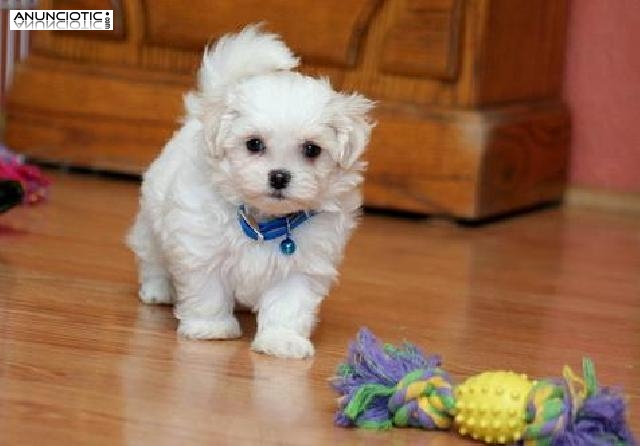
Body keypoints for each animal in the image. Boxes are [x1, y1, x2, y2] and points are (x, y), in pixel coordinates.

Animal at [125, 25, 376, 358]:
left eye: (312, 149)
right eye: (254, 144)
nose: (279, 176)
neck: (263, 220)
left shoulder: (302, 267)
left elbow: (288, 306)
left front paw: (282, 340)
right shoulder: (202, 247)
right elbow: (207, 291)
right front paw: (211, 328)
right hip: (151, 224)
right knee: (152, 257)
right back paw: (158, 290)